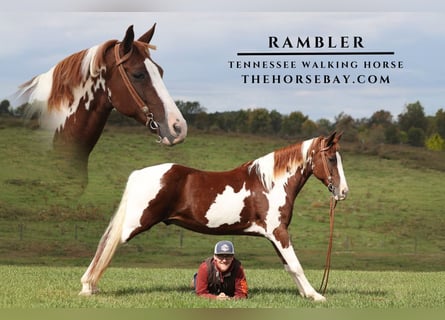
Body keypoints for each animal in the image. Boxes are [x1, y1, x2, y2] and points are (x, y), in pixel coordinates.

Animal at [81, 131, 348, 302]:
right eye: (331, 158)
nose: (343, 192)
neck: (270, 184)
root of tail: (138, 174)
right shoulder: (279, 232)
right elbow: (296, 264)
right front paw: (316, 295)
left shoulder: (274, 235)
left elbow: (289, 266)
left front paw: (305, 294)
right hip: (133, 224)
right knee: (105, 245)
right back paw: (87, 287)